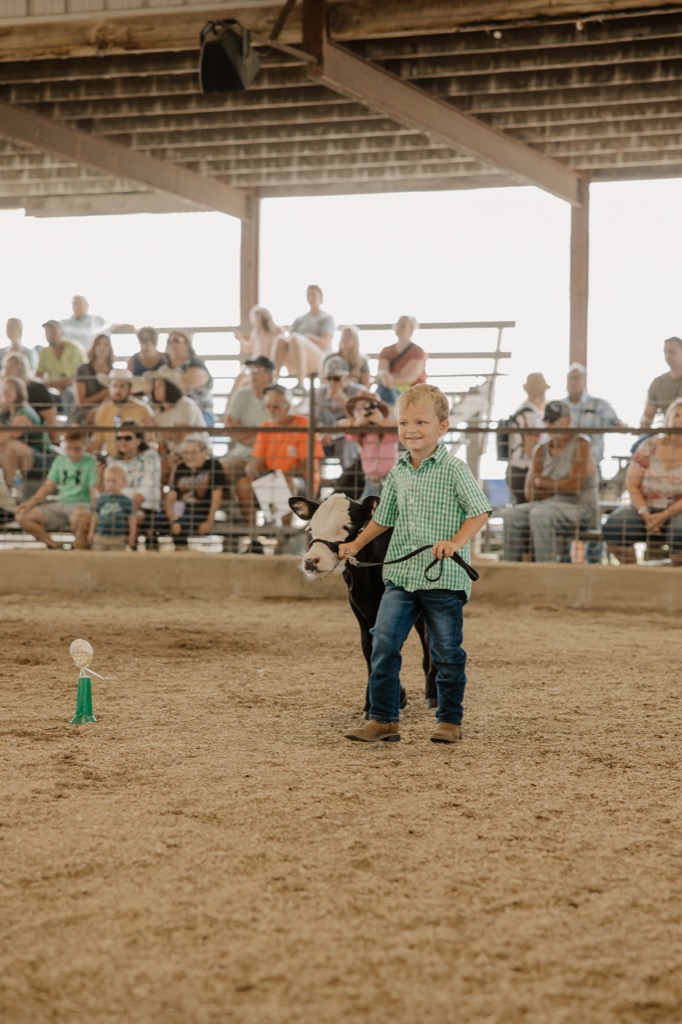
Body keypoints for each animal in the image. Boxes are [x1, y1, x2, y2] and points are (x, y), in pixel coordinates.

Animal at [289, 493, 437, 715]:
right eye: (311, 527)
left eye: (347, 526)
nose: (311, 561)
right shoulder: (358, 607)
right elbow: (369, 647)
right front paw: (372, 703)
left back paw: (433, 694)